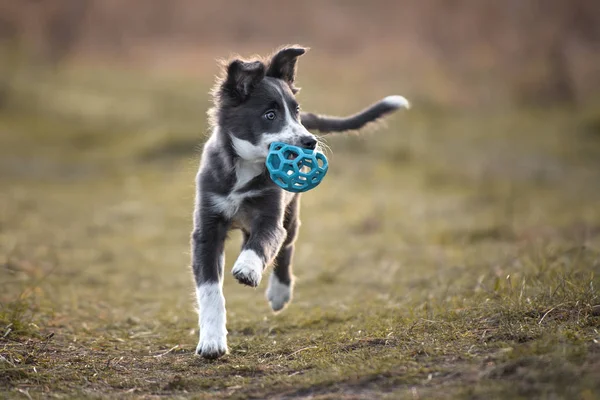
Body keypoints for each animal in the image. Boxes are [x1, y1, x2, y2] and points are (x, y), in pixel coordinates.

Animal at [190, 45, 410, 358]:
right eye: (270, 115)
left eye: (295, 112)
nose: (310, 142)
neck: (245, 167)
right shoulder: (207, 227)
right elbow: (210, 290)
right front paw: (212, 342)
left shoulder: (271, 216)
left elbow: (264, 243)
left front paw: (248, 268)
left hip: (291, 214)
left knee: (286, 246)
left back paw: (279, 291)